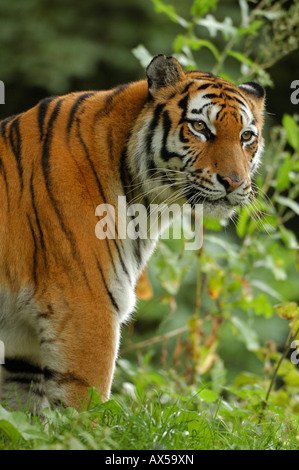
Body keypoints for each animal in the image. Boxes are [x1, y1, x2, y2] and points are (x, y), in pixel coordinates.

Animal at [0, 55, 264, 414]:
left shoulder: (22, 348)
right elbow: (83, 413)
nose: (234, 182)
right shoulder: (87, 309)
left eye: (246, 136)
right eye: (200, 128)